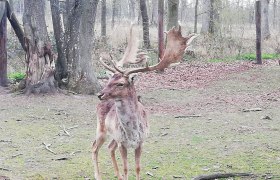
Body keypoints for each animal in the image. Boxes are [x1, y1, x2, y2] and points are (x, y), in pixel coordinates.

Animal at [93, 25, 196, 180]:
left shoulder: (140, 142)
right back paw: (98, 176)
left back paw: (117, 175)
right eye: (109, 80)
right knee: (94, 147)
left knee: (109, 147)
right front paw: (124, 174)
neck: (132, 132)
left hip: (113, 136)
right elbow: (126, 168)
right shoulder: (122, 143)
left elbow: (137, 167)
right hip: (102, 128)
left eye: (120, 83)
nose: (100, 94)